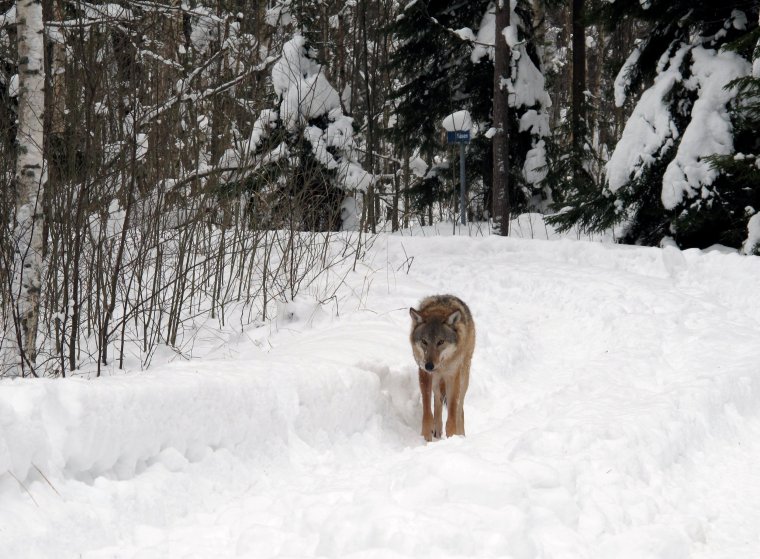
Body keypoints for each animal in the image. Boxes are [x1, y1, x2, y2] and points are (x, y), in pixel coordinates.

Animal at [410, 296, 476, 444]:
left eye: (440, 342)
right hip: (436, 381)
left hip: (463, 378)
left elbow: (452, 414)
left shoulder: (452, 376)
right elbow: (428, 411)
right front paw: (426, 437)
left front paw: (452, 436)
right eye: (424, 341)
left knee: (460, 409)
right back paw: (437, 430)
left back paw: (461, 434)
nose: (429, 365)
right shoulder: (424, 374)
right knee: (438, 401)